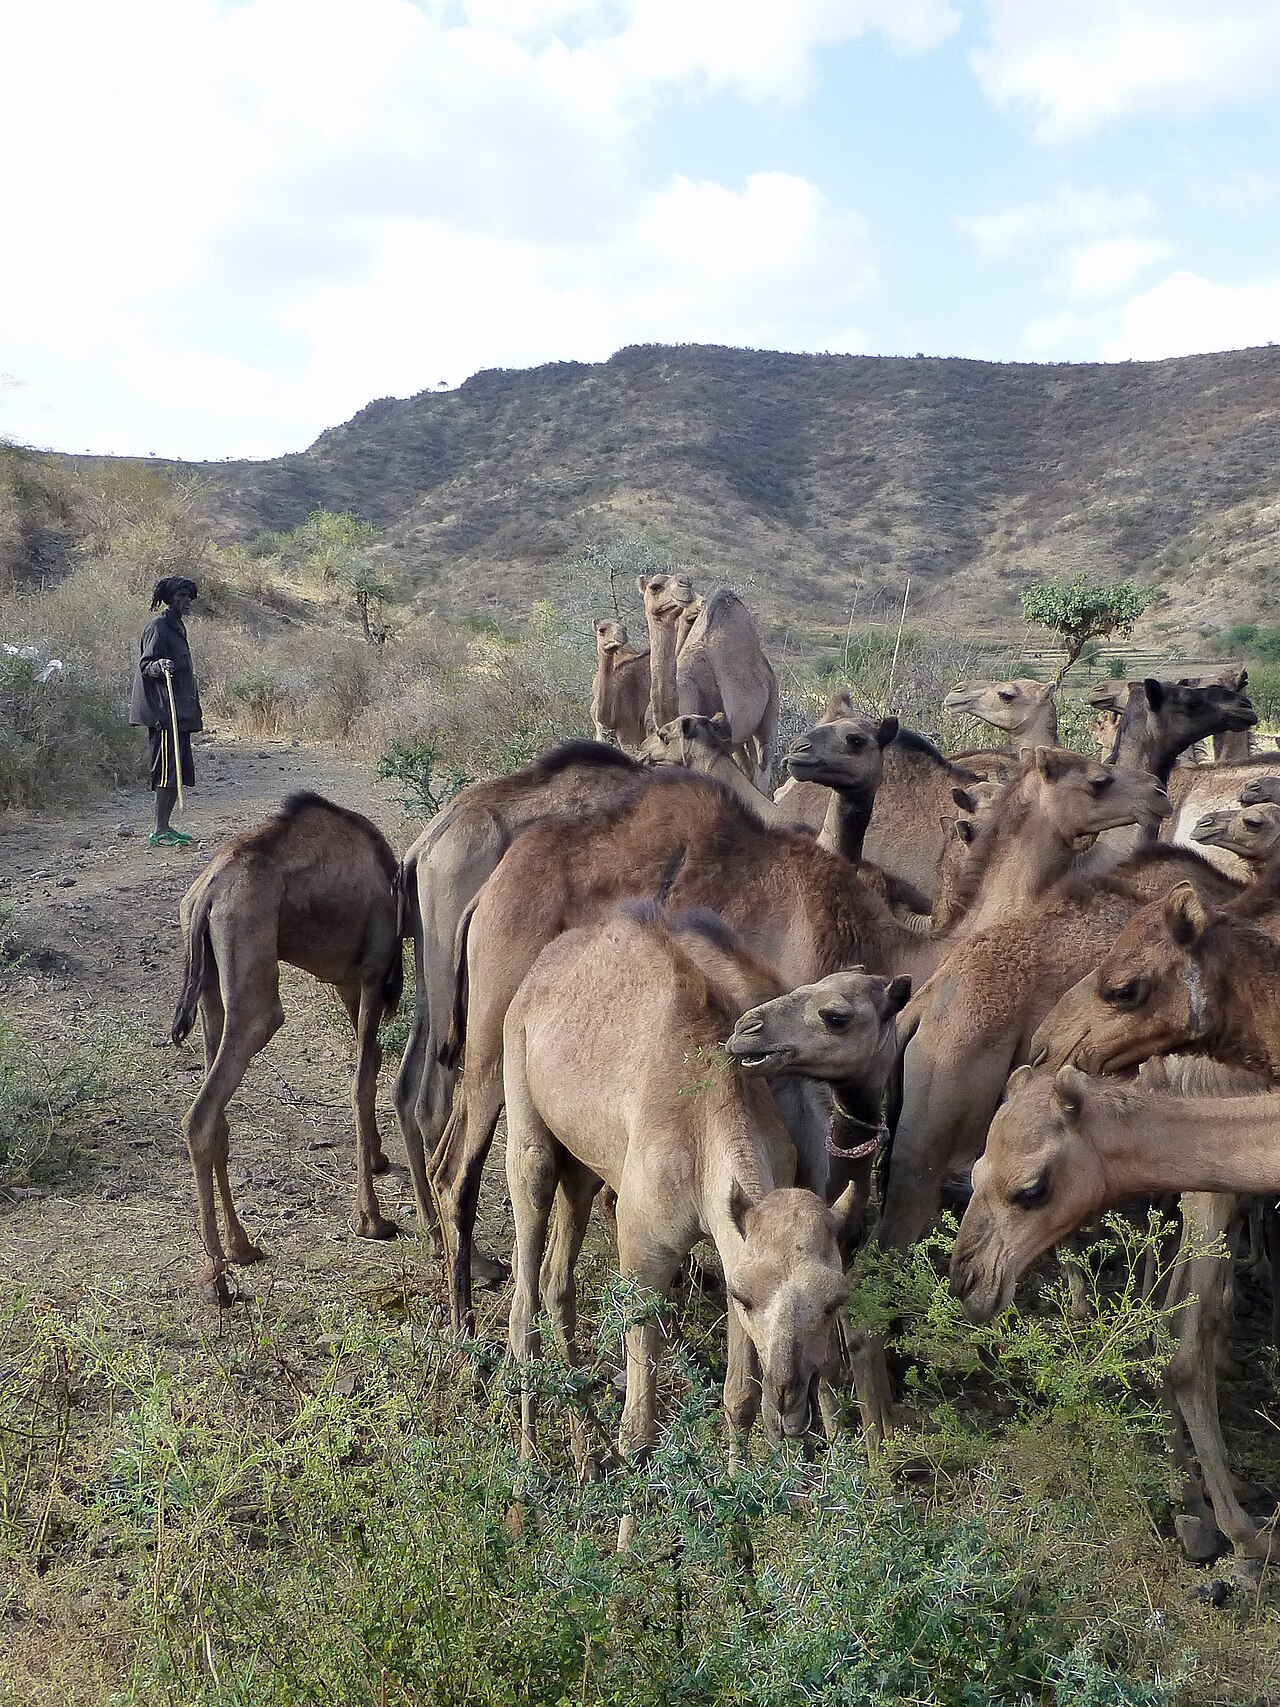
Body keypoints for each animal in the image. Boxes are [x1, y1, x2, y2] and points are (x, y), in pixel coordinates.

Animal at [170, 793, 402, 1303]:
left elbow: (371, 1062)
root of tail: (206, 897)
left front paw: (377, 1159)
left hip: (213, 992)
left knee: (218, 1117)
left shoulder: (349, 981)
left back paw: (241, 1246)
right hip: (258, 1001)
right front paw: (371, 1219)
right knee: (201, 1116)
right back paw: (218, 1277)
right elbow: (362, 1081)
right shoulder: (372, 971)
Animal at [504, 905, 850, 1483]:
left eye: (836, 1300)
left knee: (558, 1278)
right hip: (526, 1120)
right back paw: (530, 1465)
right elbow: (639, 1429)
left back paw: (586, 1454)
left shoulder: (734, 1238)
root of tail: (539, 969)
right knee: (525, 1292)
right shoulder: (645, 1251)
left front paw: (739, 1492)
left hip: (586, 1161)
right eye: (749, 1297)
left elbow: (739, 1397)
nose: (789, 1398)